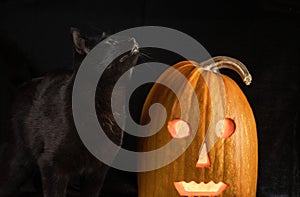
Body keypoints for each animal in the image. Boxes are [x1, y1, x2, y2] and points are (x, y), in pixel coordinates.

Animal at [0, 26, 139, 196]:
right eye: (110, 42)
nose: (132, 38)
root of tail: (25, 83)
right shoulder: (51, 164)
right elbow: (54, 192)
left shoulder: (98, 171)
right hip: (18, 157)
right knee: (7, 179)